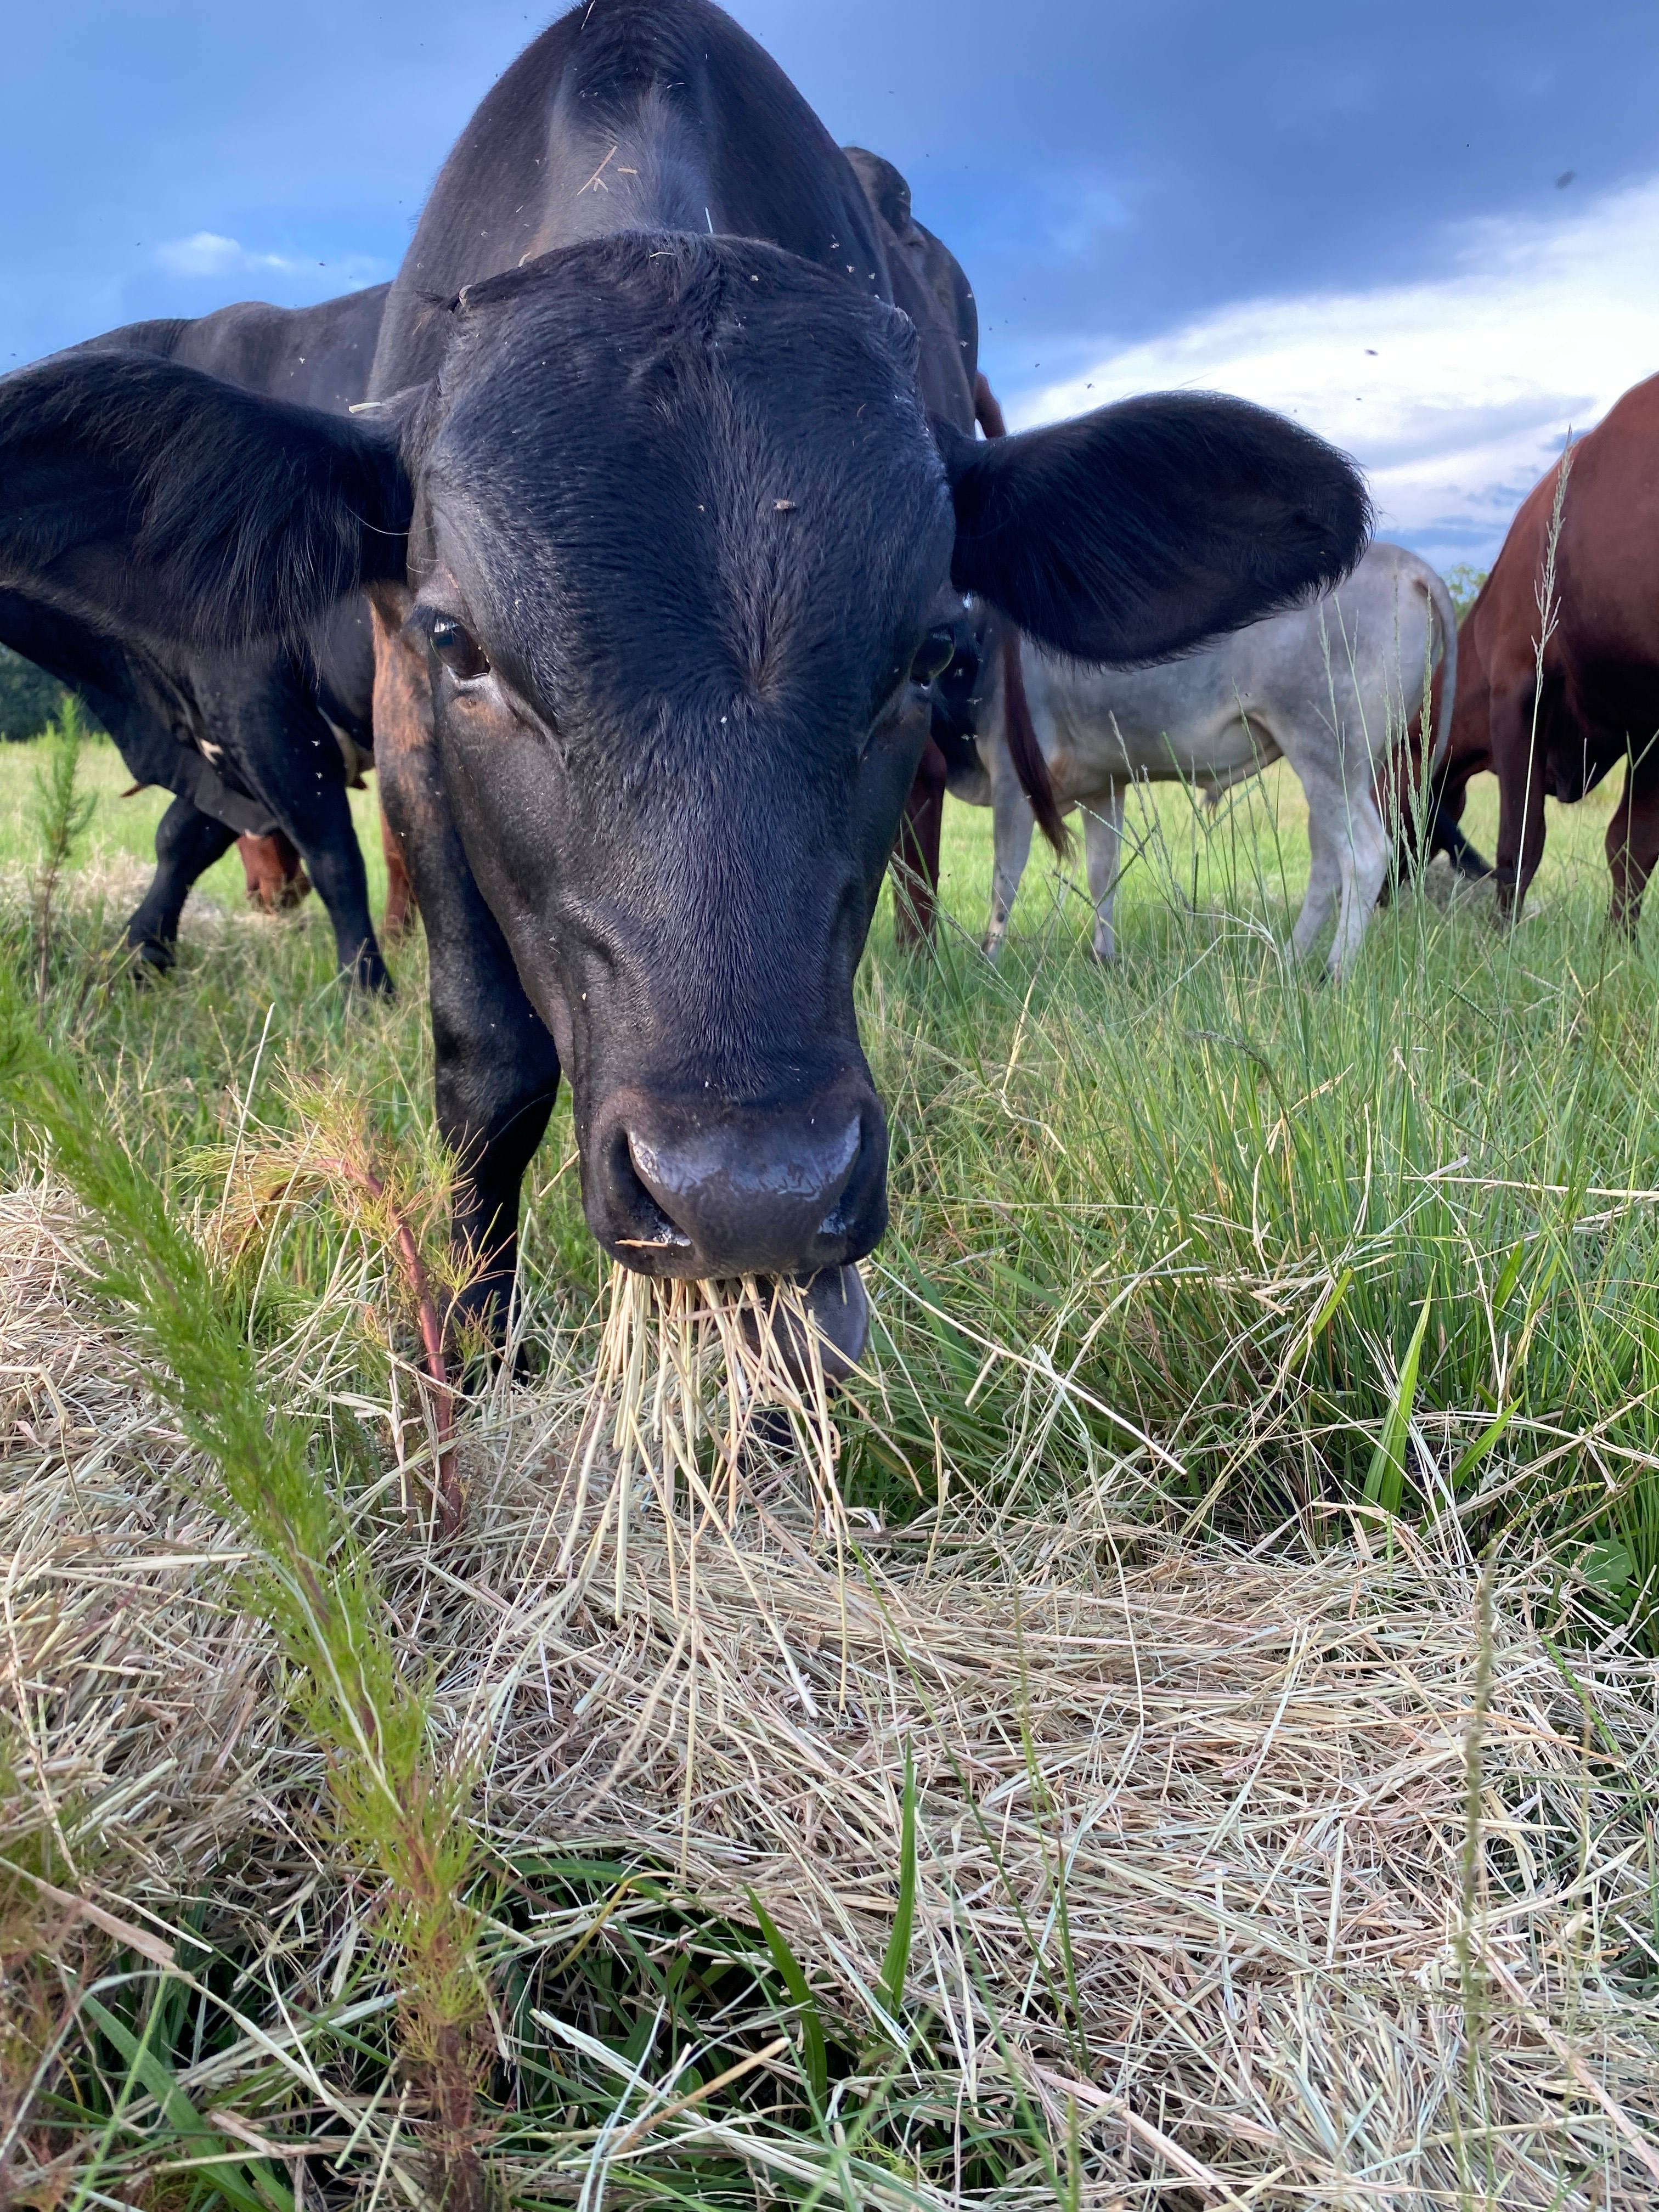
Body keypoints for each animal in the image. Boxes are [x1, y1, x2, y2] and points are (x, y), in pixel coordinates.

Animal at [0, 286, 392, 986]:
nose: (270, 897)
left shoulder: (257, 705)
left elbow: (333, 852)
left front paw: (365, 985)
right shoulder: (222, 737)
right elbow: (184, 834)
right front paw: (139, 952)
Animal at [969, 541, 1453, 978]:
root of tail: (1408, 564)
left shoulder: (1012, 778)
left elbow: (1004, 879)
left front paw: (987, 965)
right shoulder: (1103, 785)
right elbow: (1103, 874)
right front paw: (1103, 959)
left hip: (1325, 754)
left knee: (1364, 854)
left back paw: (1333, 973)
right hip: (1347, 767)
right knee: (1327, 863)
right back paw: (1289, 961)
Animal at [1410, 379, 1659, 932]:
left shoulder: (1518, 691)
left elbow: (1520, 842)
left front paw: (1502, 939)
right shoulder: (1651, 729)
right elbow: (1631, 846)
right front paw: (1618, 944)